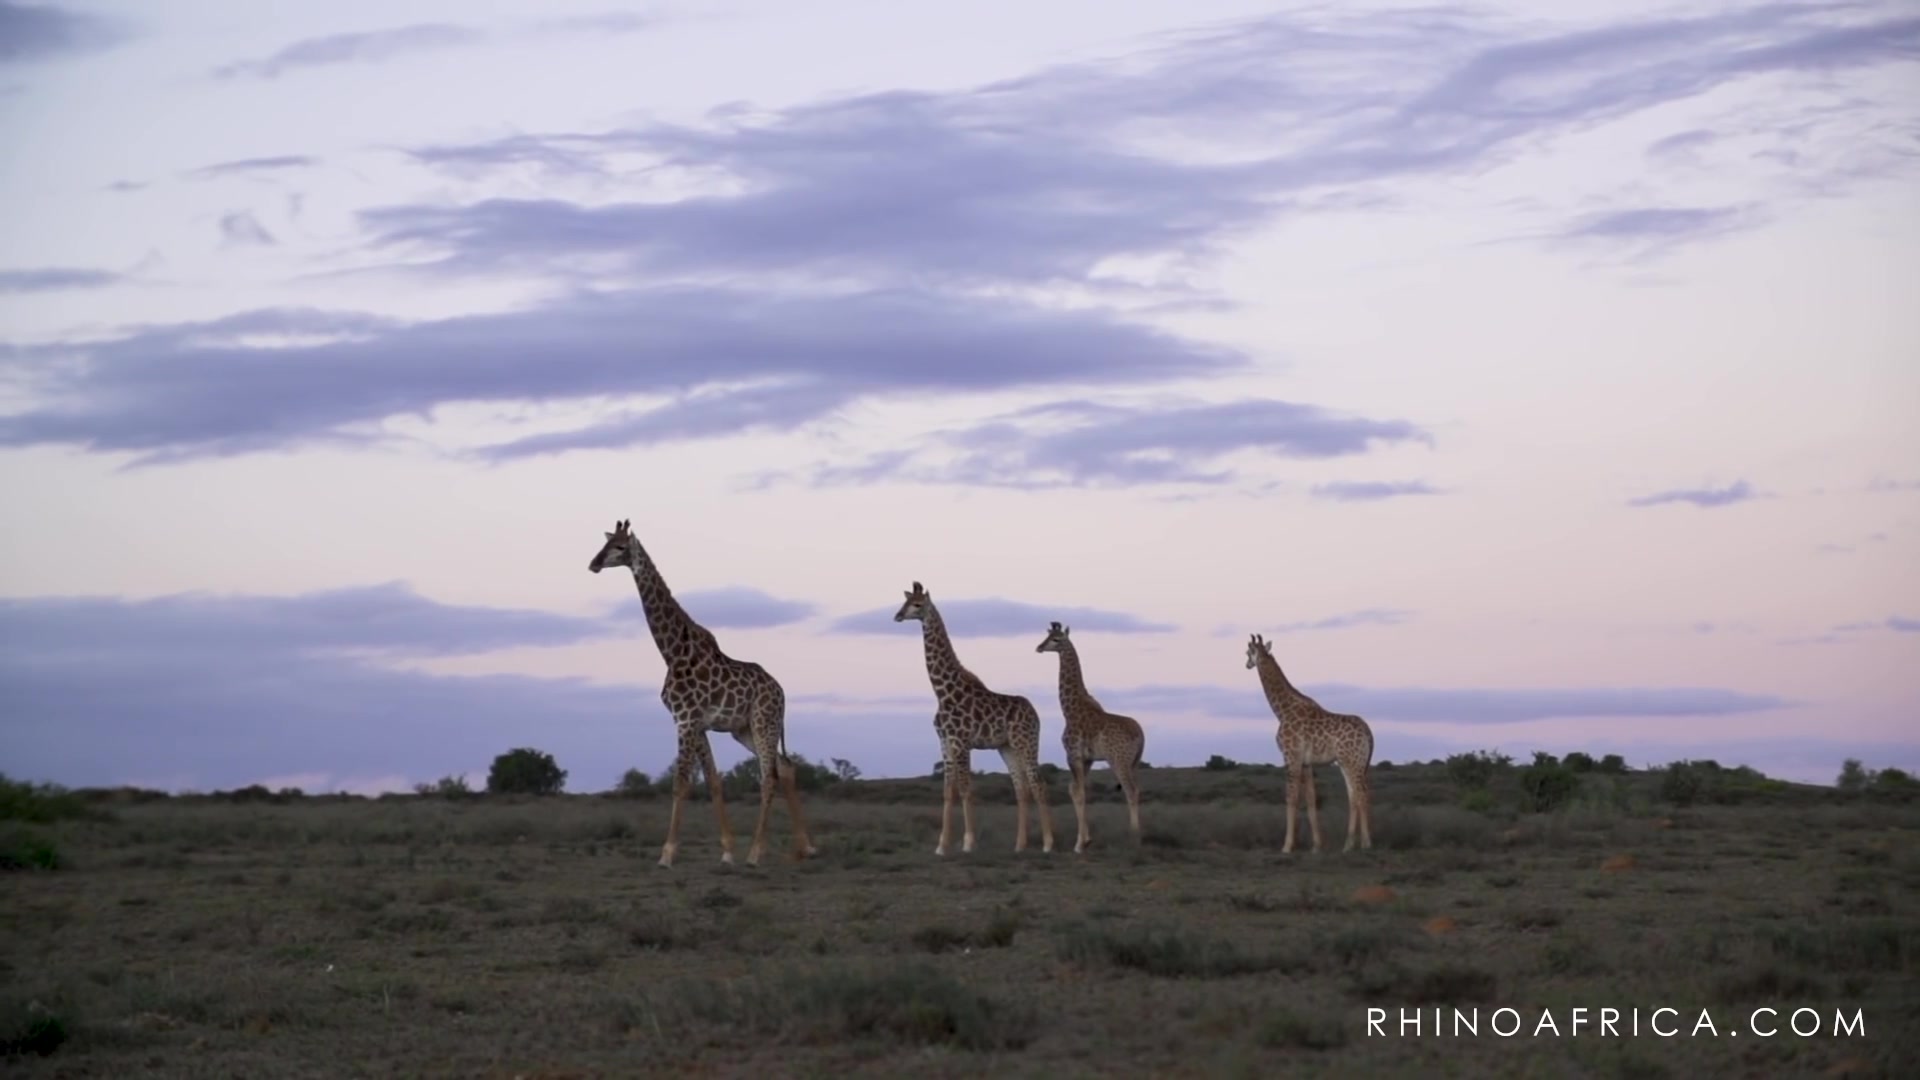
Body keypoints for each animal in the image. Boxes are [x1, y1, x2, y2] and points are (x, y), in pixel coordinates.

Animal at [591, 515, 817, 864]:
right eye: (603, 544)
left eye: (618, 547)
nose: (594, 564)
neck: (672, 652)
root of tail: (782, 693)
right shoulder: (695, 723)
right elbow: (713, 780)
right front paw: (726, 851)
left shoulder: (685, 720)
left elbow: (680, 783)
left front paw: (667, 854)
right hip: (744, 730)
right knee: (786, 768)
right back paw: (804, 847)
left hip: (763, 722)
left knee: (769, 777)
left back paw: (756, 853)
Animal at [890, 576, 1059, 853]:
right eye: (904, 602)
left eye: (917, 604)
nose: (898, 616)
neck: (942, 691)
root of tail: (1035, 713)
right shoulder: (945, 743)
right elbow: (948, 792)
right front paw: (942, 846)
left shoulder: (961, 743)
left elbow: (966, 790)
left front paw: (968, 843)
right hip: (1007, 747)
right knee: (1021, 788)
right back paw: (1019, 845)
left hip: (1027, 742)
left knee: (1038, 784)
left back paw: (1047, 843)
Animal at [1036, 622, 1136, 849]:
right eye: (1048, 636)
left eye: (1056, 639)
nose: (1039, 647)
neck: (1069, 709)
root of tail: (1141, 734)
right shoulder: (1087, 759)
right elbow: (1078, 790)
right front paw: (1086, 839)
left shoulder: (1072, 755)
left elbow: (1078, 792)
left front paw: (1080, 844)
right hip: (1130, 762)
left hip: (1119, 760)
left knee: (1130, 791)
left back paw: (1136, 836)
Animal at [1251, 630, 1374, 849]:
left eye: (1248, 651)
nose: (1247, 663)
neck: (1282, 711)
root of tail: (1368, 732)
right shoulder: (1306, 762)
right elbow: (1310, 799)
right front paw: (1316, 846)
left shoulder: (1290, 756)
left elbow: (1291, 797)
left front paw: (1287, 846)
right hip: (1350, 762)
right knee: (1353, 795)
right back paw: (1348, 845)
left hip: (1353, 761)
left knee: (1361, 793)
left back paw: (1366, 844)